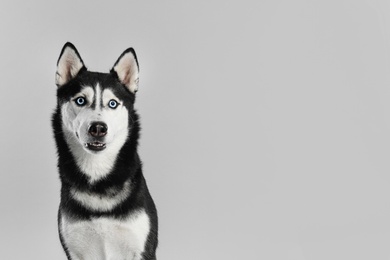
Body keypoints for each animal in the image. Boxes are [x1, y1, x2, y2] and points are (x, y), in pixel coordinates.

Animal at [52, 43, 158, 260]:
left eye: (113, 103)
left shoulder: (142, 249)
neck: (98, 176)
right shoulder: (74, 250)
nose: (98, 128)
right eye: (81, 100)